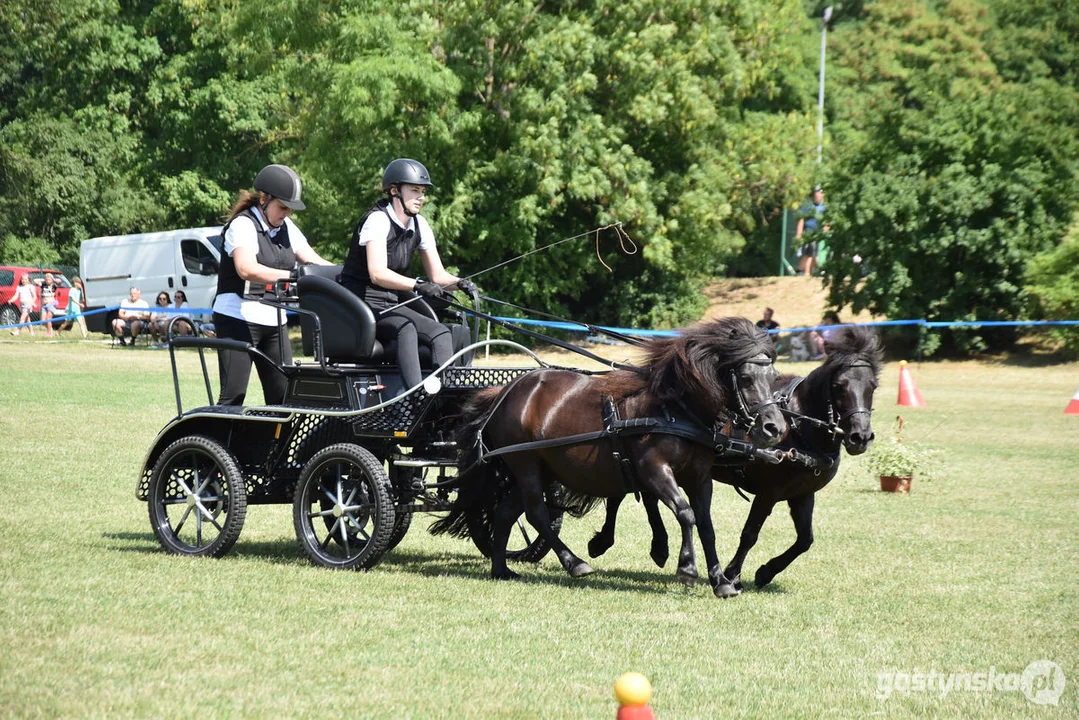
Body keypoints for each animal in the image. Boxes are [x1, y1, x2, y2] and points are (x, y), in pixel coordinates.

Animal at [433, 317, 789, 600]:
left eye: (774, 377)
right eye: (745, 378)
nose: (775, 427)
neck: (675, 409)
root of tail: (505, 393)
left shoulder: (699, 478)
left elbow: (706, 525)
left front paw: (720, 581)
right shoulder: (655, 471)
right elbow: (685, 514)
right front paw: (687, 568)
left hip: (541, 468)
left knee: (507, 513)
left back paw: (501, 568)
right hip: (527, 466)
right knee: (536, 514)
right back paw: (574, 563)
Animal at [586, 325, 880, 595]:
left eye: (873, 386)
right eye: (839, 387)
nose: (860, 437)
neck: (798, 426)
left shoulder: (803, 494)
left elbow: (805, 540)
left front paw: (765, 572)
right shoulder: (769, 492)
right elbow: (750, 534)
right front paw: (732, 574)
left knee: (644, 495)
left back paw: (657, 546)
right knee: (623, 494)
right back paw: (607, 543)